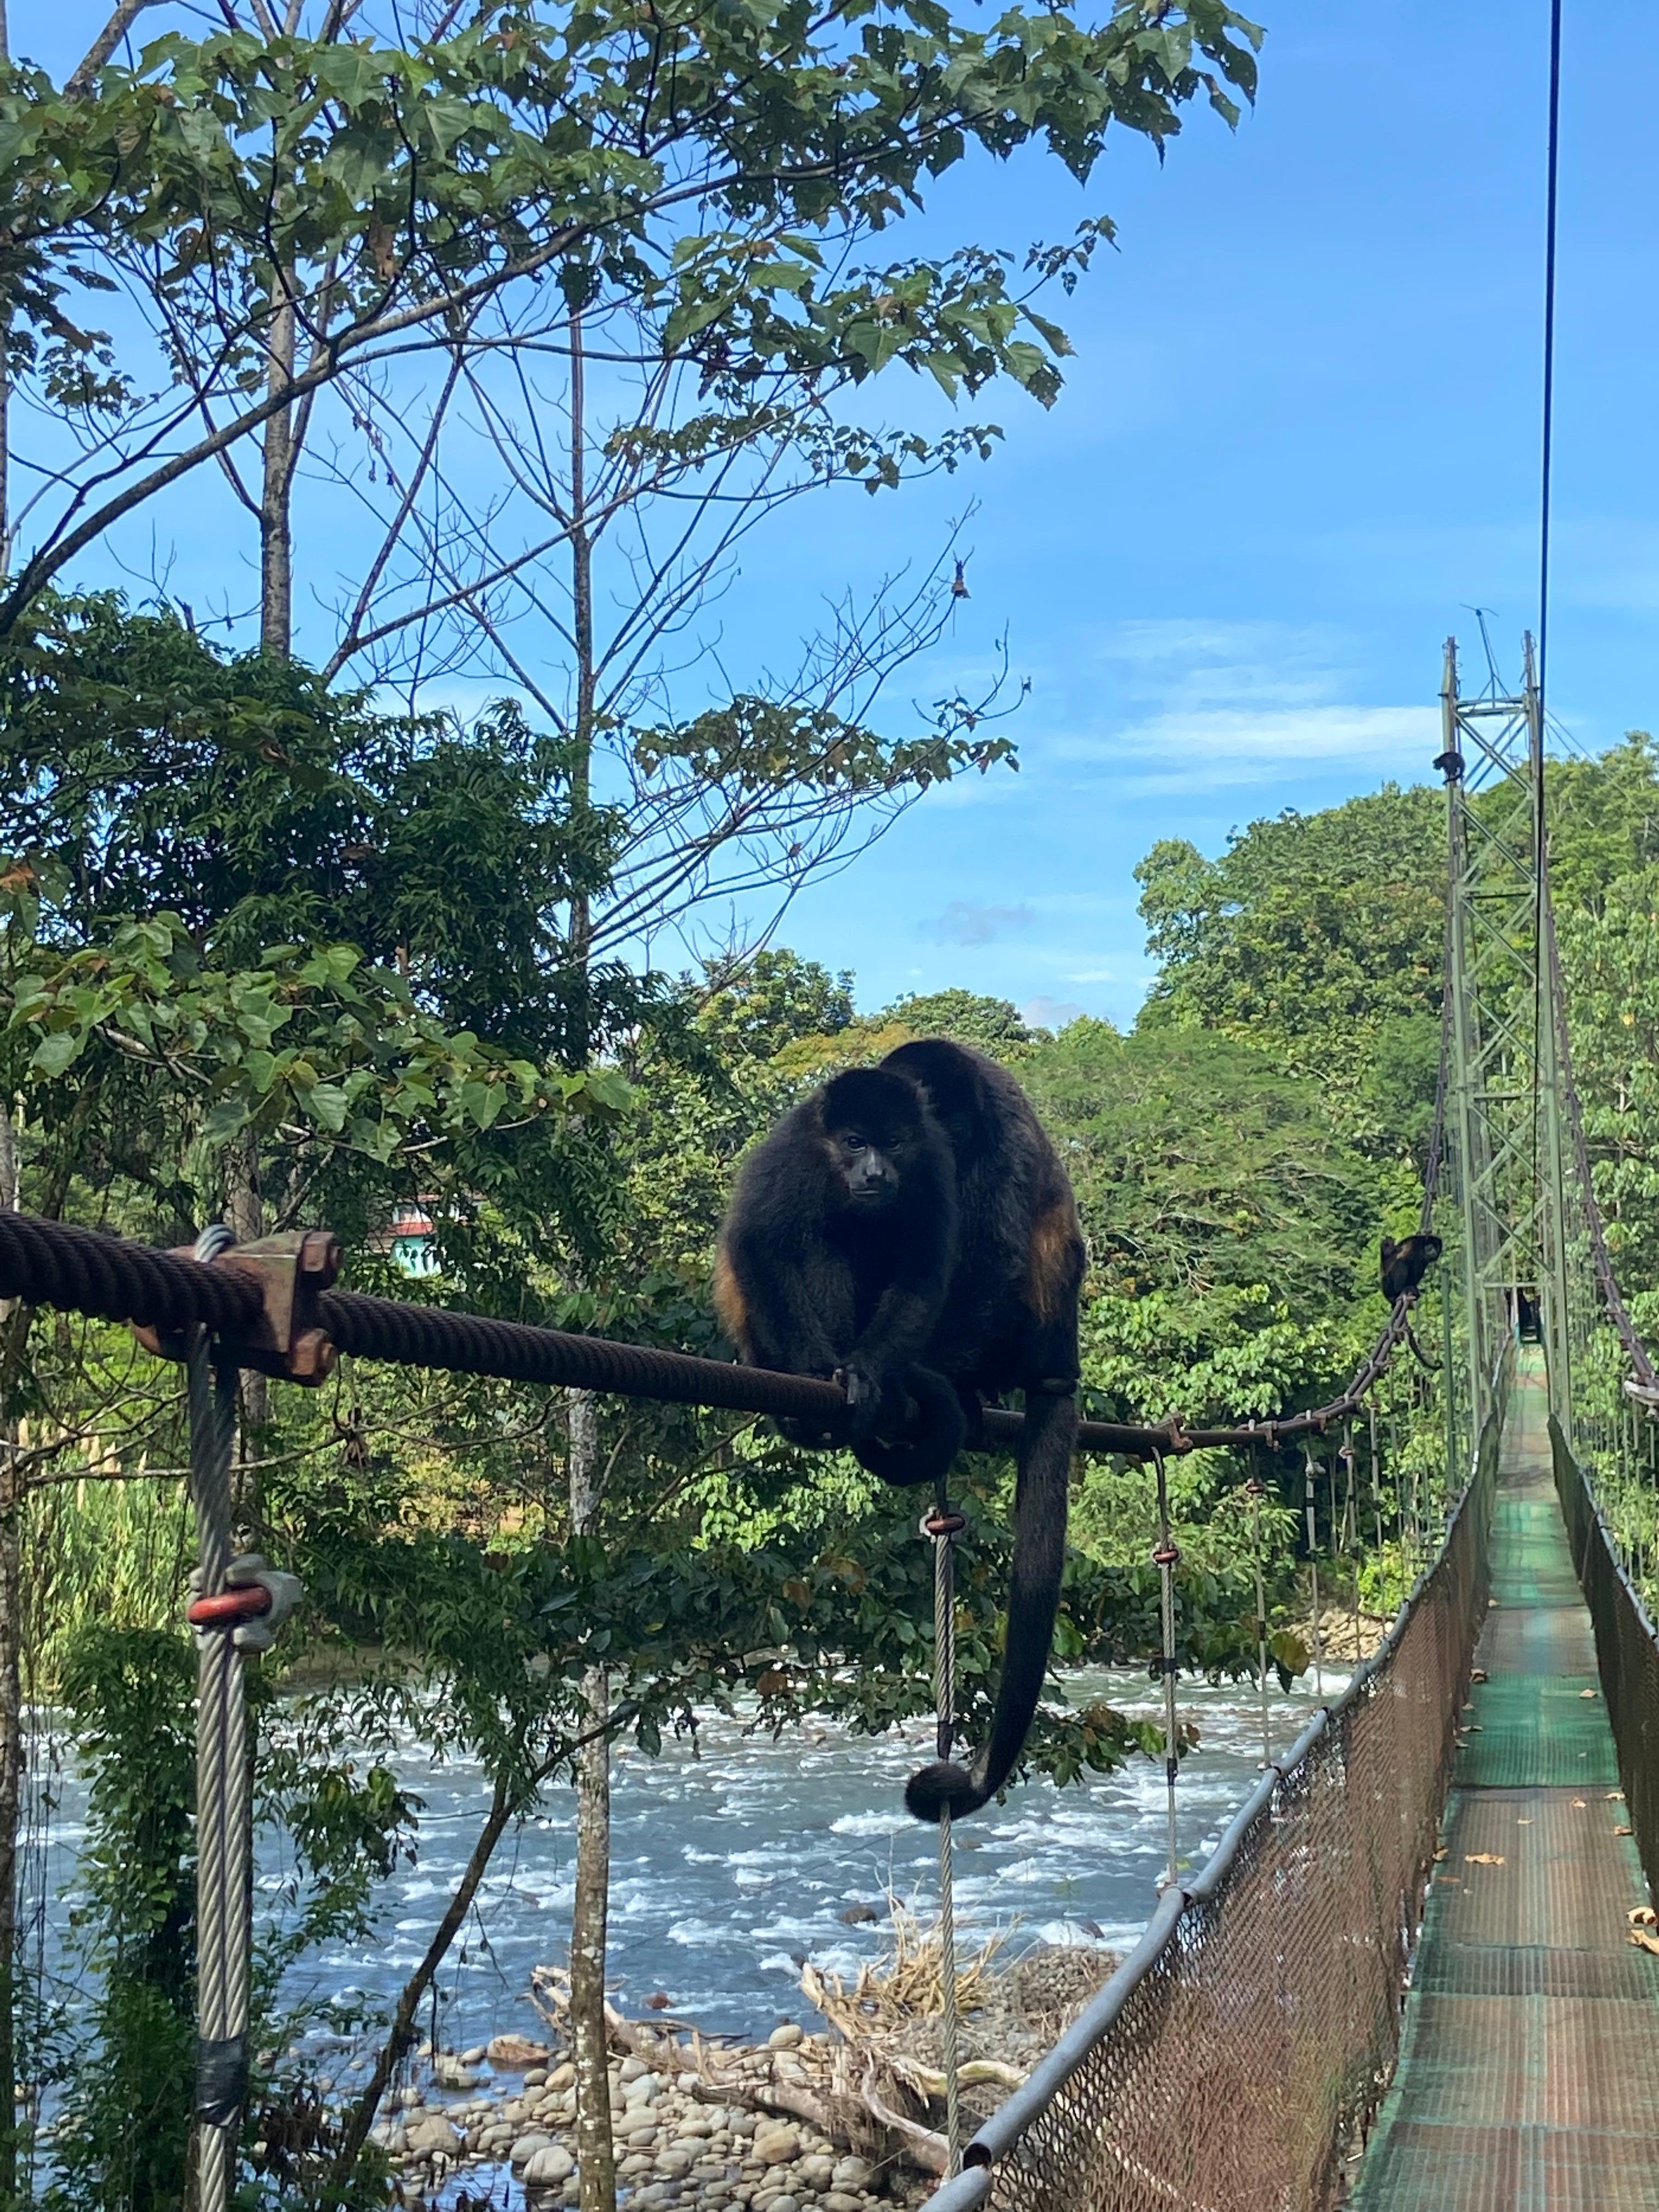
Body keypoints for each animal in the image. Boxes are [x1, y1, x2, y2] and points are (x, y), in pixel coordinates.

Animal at [1380, 1238, 1451, 1300]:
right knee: (1401, 1262)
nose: (1434, 1251)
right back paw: (1401, 1289)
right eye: (1431, 1248)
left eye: (1437, 1247)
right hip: (1388, 1284)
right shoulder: (1415, 1246)